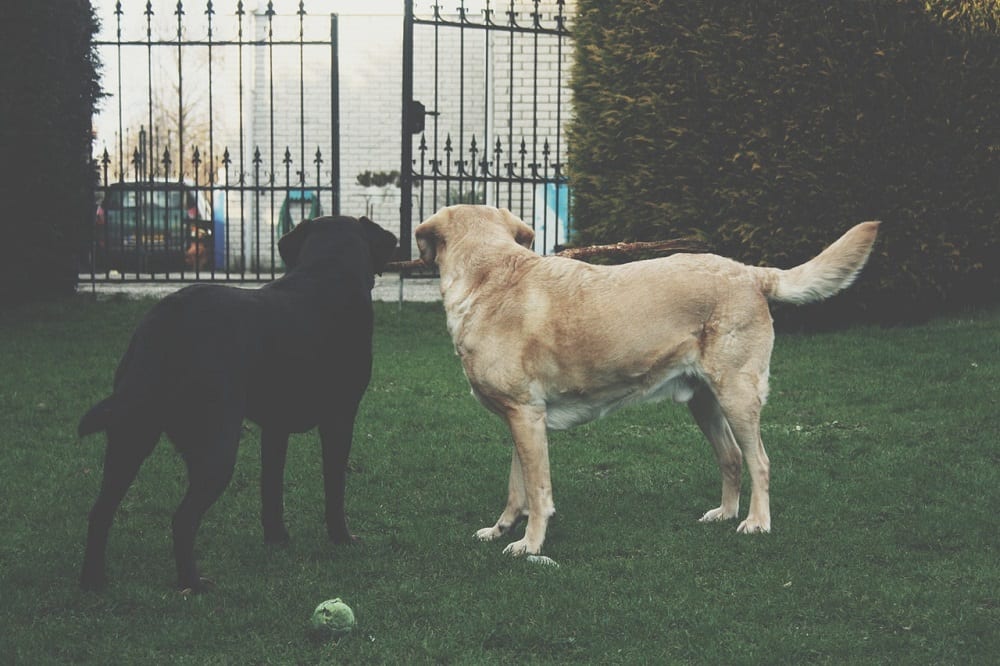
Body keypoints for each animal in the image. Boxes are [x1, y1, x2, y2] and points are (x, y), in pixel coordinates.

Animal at [79, 215, 398, 588]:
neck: (328, 270)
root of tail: (166, 320)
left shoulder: (275, 427)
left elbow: (271, 486)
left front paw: (277, 538)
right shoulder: (340, 418)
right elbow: (334, 486)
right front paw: (342, 538)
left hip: (131, 433)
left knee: (101, 511)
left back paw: (93, 582)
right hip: (216, 444)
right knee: (182, 518)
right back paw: (193, 584)